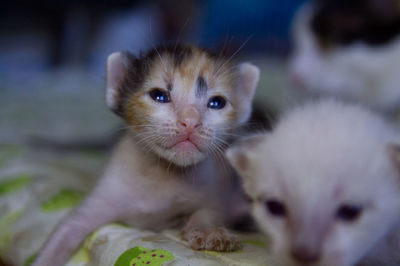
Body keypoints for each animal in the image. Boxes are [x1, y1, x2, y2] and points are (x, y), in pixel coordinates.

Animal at [33, 44, 260, 264]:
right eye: (159, 95)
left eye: (217, 102)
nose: (190, 121)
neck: (163, 172)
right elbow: (69, 227)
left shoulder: (210, 190)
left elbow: (211, 210)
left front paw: (209, 232)